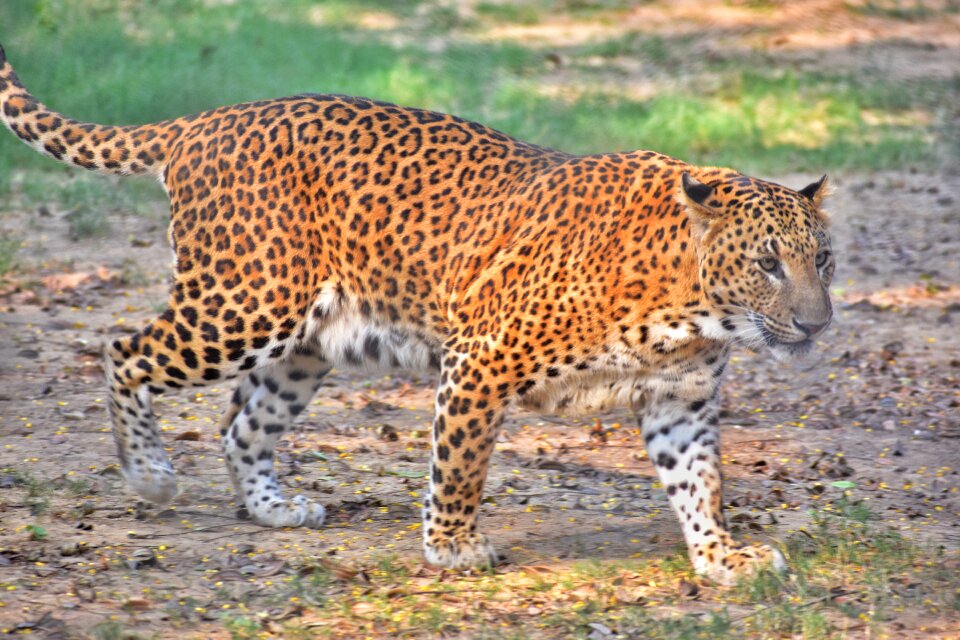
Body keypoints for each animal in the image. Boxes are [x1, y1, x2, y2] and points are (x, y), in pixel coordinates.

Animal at [0, 45, 832, 584]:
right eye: (767, 264)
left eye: (821, 259)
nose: (818, 324)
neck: (692, 313)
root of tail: (202, 121)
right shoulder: (481, 359)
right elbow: (460, 464)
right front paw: (452, 548)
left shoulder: (679, 404)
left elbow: (701, 485)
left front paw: (722, 558)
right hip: (242, 303)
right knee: (124, 352)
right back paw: (149, 475)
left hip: (303, 346)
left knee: (242, 424)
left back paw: (273, 509)